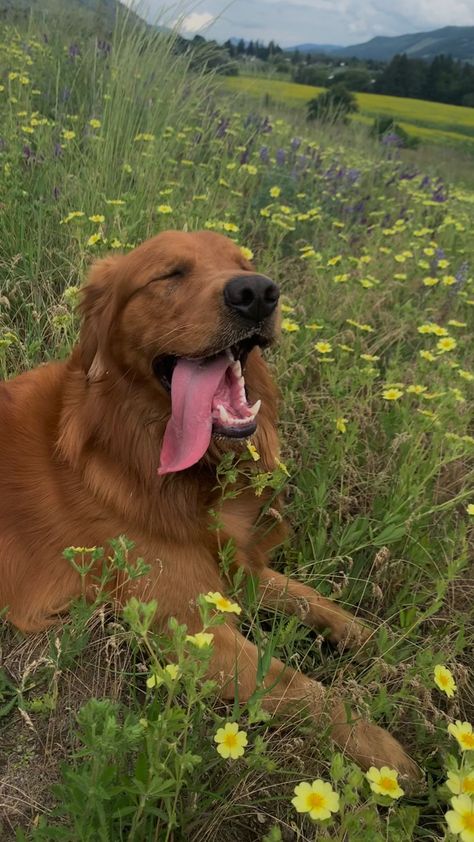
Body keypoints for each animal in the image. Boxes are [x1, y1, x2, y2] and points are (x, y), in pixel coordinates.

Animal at [0, 228, 414, 776]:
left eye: (243, 262)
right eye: (171, 274)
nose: (257, 293)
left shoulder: (232, 571)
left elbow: (311, 598)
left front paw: (378, 642)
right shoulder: (196, 632)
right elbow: (305, 688)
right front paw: (386, 752)